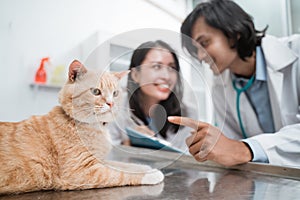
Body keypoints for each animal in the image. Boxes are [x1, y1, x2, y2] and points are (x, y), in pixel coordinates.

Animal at [0, 60, 164, 195]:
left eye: (115, 93)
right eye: (96, 91)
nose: (111, 103)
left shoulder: (98, 160)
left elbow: (123, 165)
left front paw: (146, 168)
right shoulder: (81, 172)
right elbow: (120, 174)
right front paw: (151, 174)